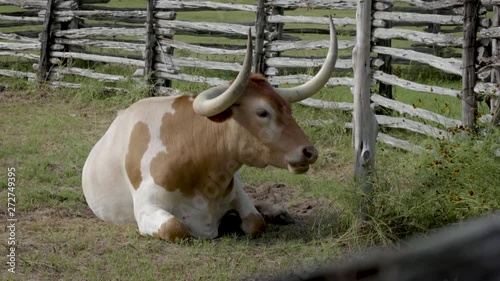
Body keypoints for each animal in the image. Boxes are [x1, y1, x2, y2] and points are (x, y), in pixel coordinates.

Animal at [82, 18, 338, 241]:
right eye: (262, 112)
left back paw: (276, 212)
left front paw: (242, 218)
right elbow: (176, 228)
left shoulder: (238, 194)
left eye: (288, 109)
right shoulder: (148, 208)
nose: (309, 152)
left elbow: (256, 221)